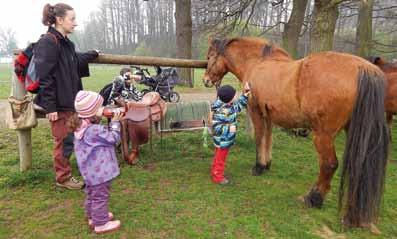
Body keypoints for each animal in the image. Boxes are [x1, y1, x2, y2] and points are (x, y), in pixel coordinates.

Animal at [203, 37, 388, 228]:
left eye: (210, 56)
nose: (206, 80)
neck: (258, 63)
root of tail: (364, 69)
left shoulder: (257, 113)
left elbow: (260, 138)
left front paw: (258, 167)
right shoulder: (269, 117)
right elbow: (268, 139)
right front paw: (267, 164)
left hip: (323, 135)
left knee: (329, 164)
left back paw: (314, 198)